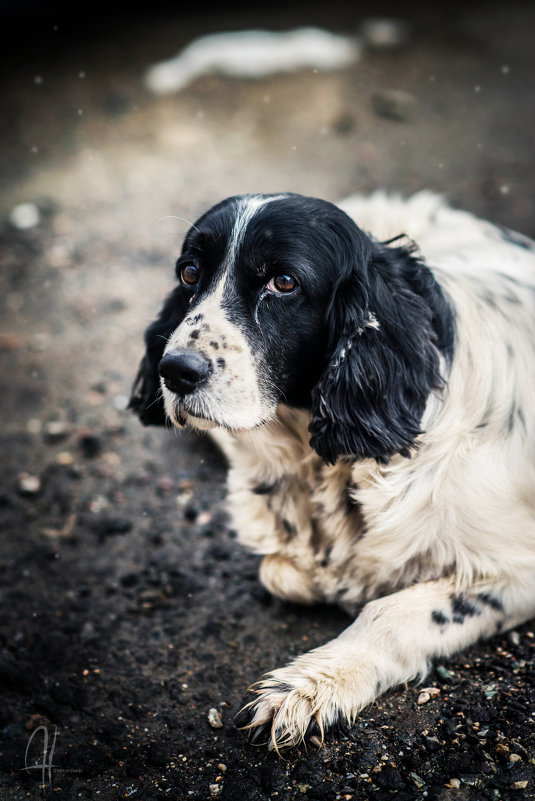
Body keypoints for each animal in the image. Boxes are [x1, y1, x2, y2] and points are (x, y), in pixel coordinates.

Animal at [129, 191, 535, 748]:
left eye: (283, 282)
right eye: (189, 273)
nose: (175, 371)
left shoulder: (519, 565)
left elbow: (390, 610)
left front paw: (309, 686)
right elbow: (282, 569)